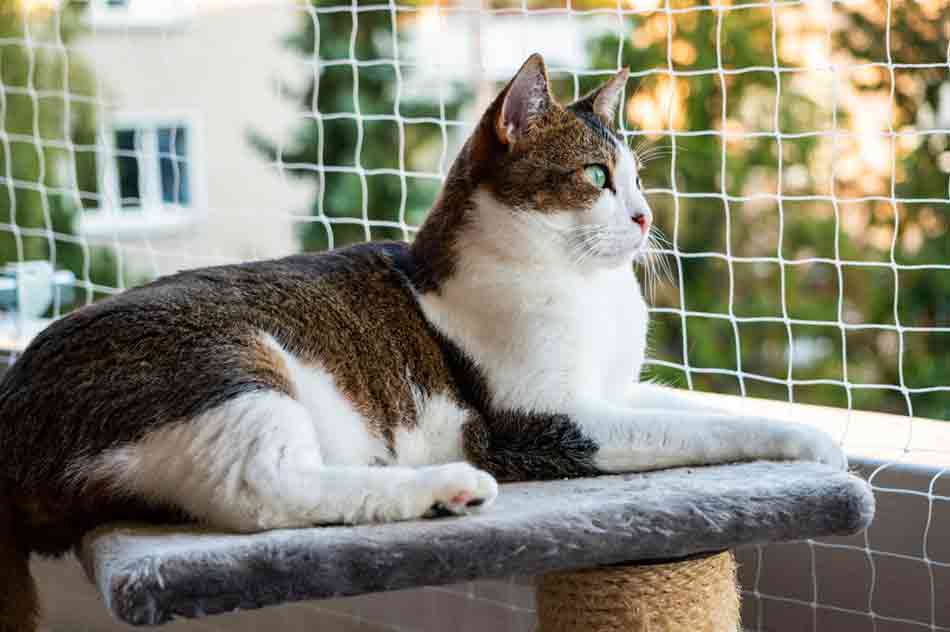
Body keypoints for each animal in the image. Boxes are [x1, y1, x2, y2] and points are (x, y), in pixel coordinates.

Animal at [0, 55, 848, 632]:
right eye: (596, 176)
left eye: (636, 179)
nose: (644, 218)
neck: (585, 290)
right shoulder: (545, 421)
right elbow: (699, 427)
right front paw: (811, 446)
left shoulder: (611, 391)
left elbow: (705, 405)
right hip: (231, 365)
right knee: (260, 493)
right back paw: (446, 487)